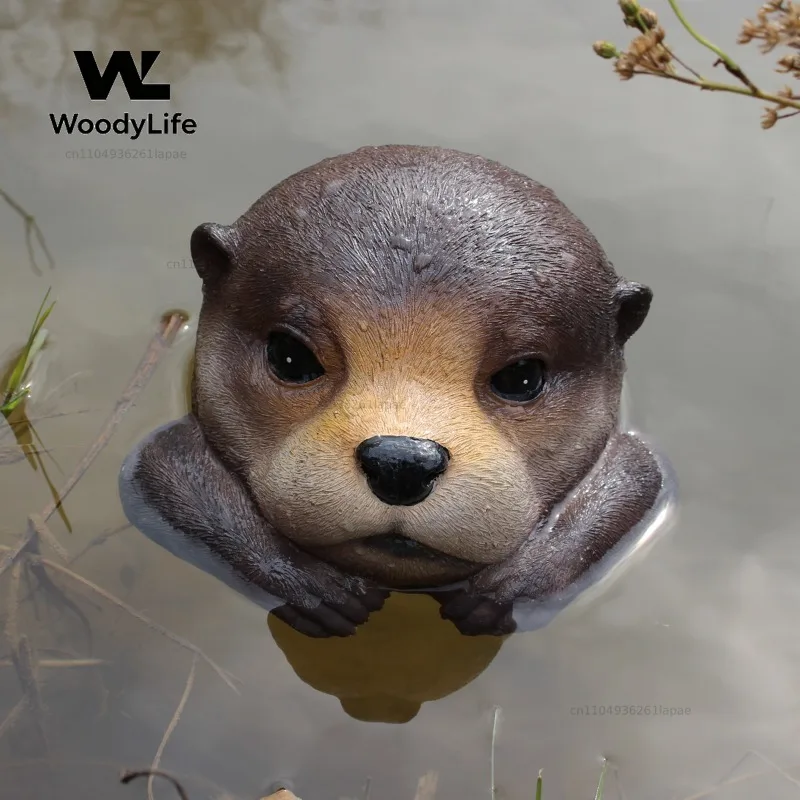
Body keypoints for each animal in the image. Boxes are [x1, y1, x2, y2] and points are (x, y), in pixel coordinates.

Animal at [118, 145, 675, 638]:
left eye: (522, 377)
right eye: (290, 356)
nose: (401, 461)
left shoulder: (637, 471)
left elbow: (635, 478)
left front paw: (504, 588)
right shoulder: (157, 461)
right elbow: (161, 467)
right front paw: (316, 588)